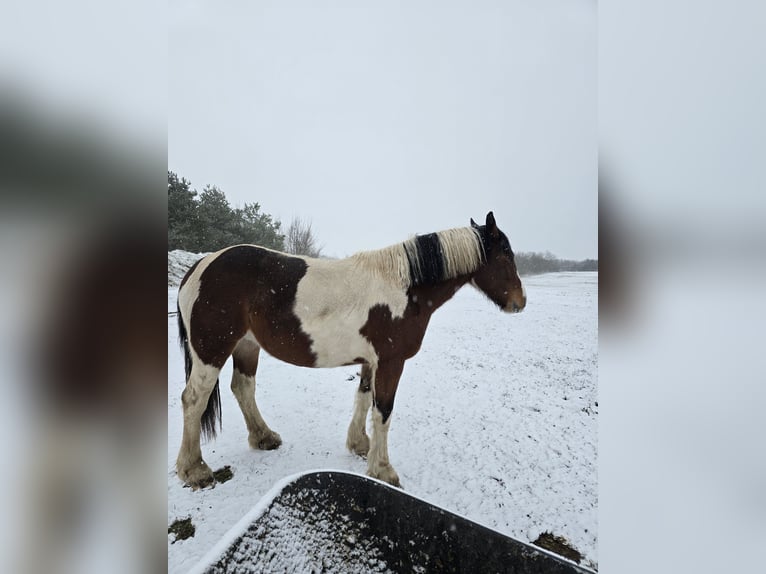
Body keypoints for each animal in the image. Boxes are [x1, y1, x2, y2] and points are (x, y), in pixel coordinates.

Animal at [175, 212, 524, 490]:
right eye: (505, 255)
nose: (519, 302)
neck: (403, 289)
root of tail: (199, 267)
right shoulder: (391, 361)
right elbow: (383, 410)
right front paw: (383, 469)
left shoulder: (372, 360)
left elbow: (364, 397)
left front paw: (360, 445)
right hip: (211, 350)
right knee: (194, 399)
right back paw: (194, 470)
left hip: (247, 345)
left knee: (243, 387)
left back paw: (264, 437)